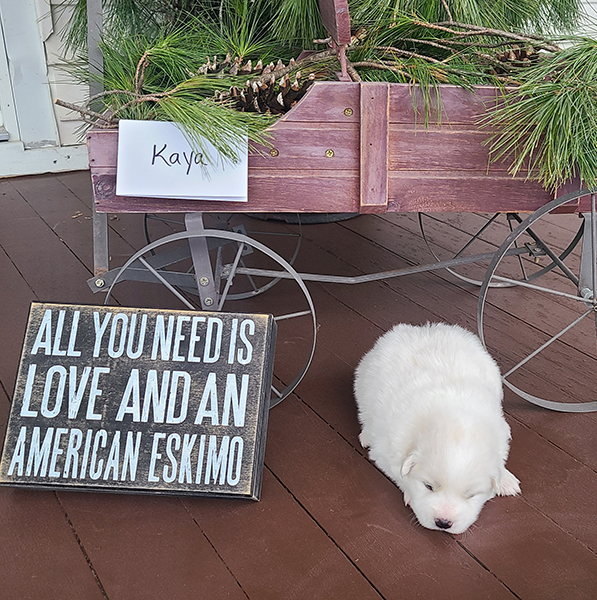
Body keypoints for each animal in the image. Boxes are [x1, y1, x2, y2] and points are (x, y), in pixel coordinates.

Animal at [354, 324, 516, 536]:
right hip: (364, 385)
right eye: (428, 486)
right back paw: (365, 435)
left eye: (471, 495)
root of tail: (421, 329)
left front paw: (506, 480)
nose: (443, 523)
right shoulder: (386, 450)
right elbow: (398, 475)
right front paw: (408, 494)